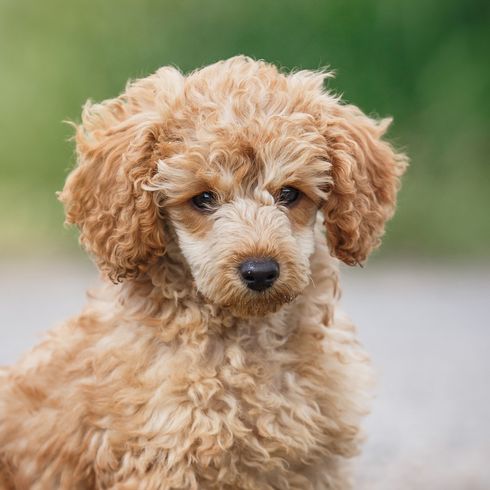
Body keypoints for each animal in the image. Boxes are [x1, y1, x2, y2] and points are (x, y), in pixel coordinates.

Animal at [0, 55, 406, 488]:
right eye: (203, 199)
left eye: (290, 193)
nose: (260, 271)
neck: (245, 342)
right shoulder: (165, 456)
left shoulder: (314, 463)